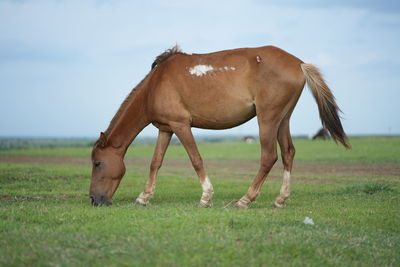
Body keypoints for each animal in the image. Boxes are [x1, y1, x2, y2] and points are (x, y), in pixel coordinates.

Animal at [88, 45, 350, 209]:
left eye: (97, 163)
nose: (93, 199)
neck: (156, 84)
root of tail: (299, 63)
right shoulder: (166, 128)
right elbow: (156, 162)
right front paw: (144, 197)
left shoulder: (181, 125)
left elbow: (196, 159)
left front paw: (206, 198)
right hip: (283, 119)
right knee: (288, 153)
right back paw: (280, 199)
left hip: (267, 118)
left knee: (269, 156)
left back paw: (245, 200)